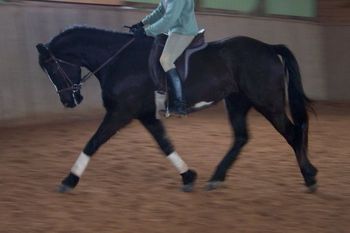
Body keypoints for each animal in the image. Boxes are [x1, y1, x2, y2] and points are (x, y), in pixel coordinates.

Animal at [37, 26, 318, 193]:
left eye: (51, 68)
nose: (69, 101)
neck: (119, 61)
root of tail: (269, 48)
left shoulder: (121, 112)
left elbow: (93, 142)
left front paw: (69, 180)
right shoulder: (144, 114)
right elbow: (165, 144)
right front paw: (188, 176)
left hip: (267, 102)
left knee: (293, 133)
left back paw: (310, 177)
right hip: (238, 102)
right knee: (241, 137)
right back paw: (216, 177)